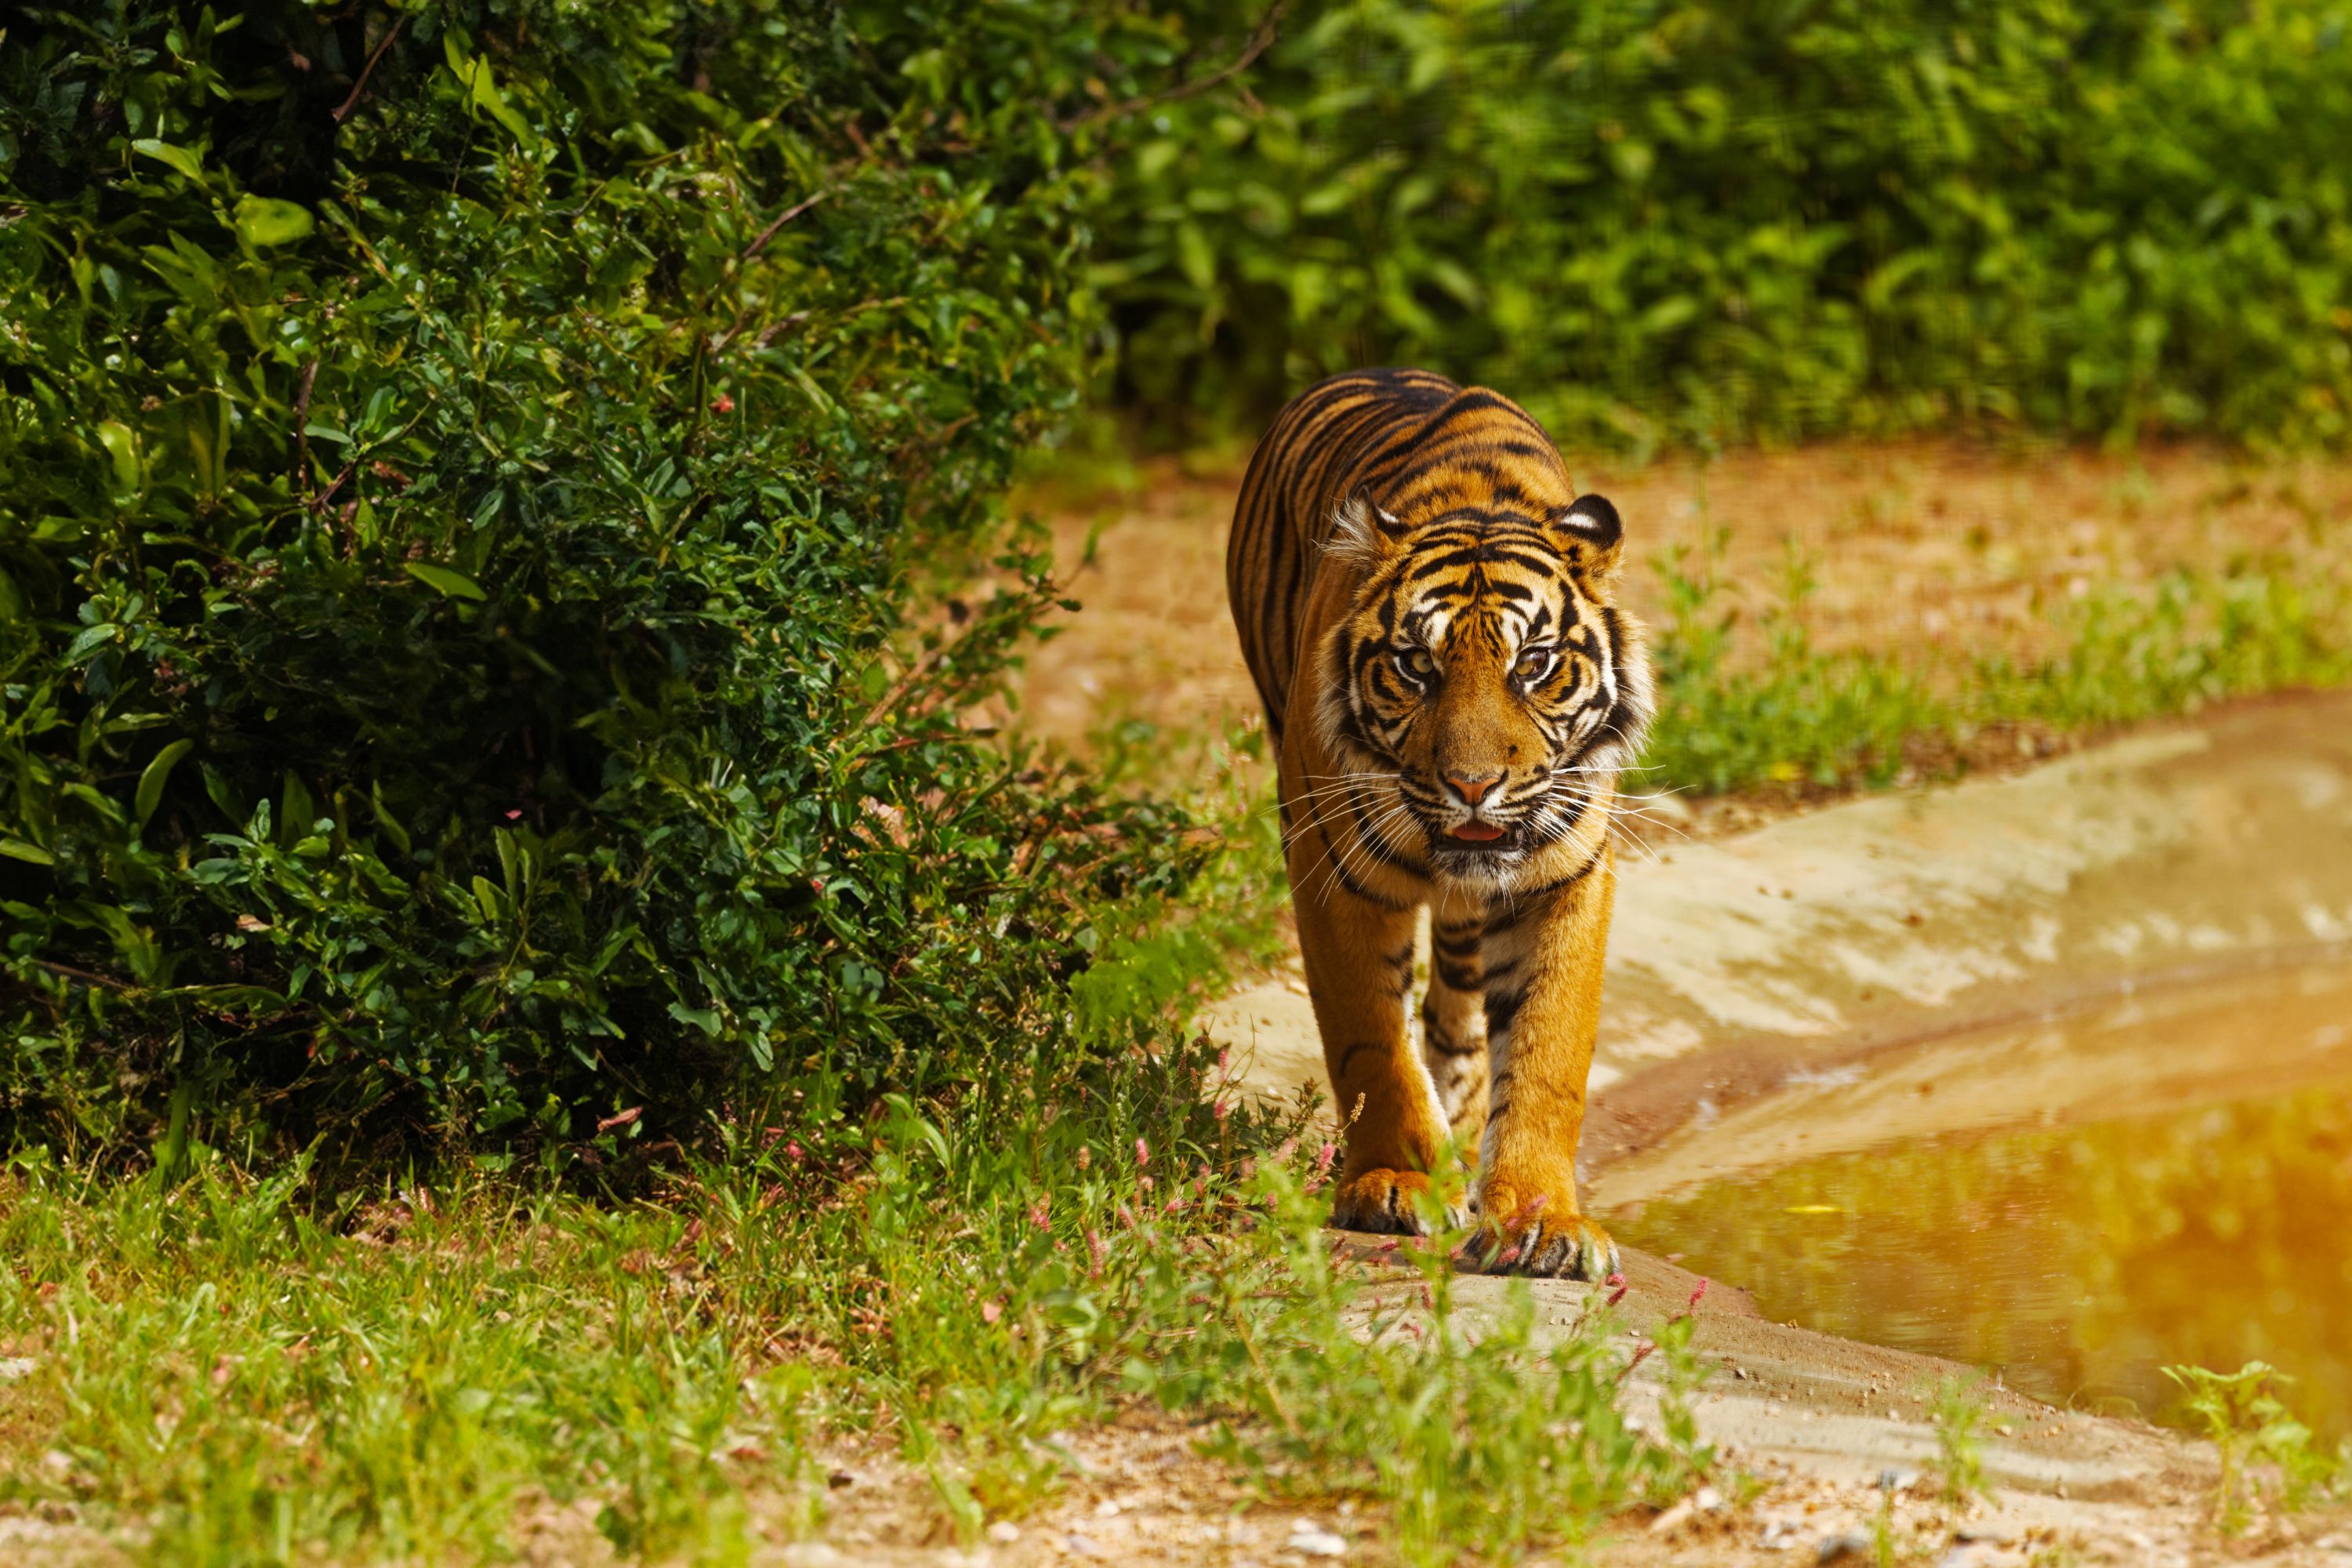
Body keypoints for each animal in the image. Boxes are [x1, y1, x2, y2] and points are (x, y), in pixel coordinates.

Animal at [1226, 368, 1653, 1280]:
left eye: (1534, 664)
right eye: (1416, 665)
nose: (1472, 785)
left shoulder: (1568, 875)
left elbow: (1547, 1053)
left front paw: (1540, 1219)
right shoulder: (1330, 866)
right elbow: (1368, 1039)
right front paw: (1397, 1180)